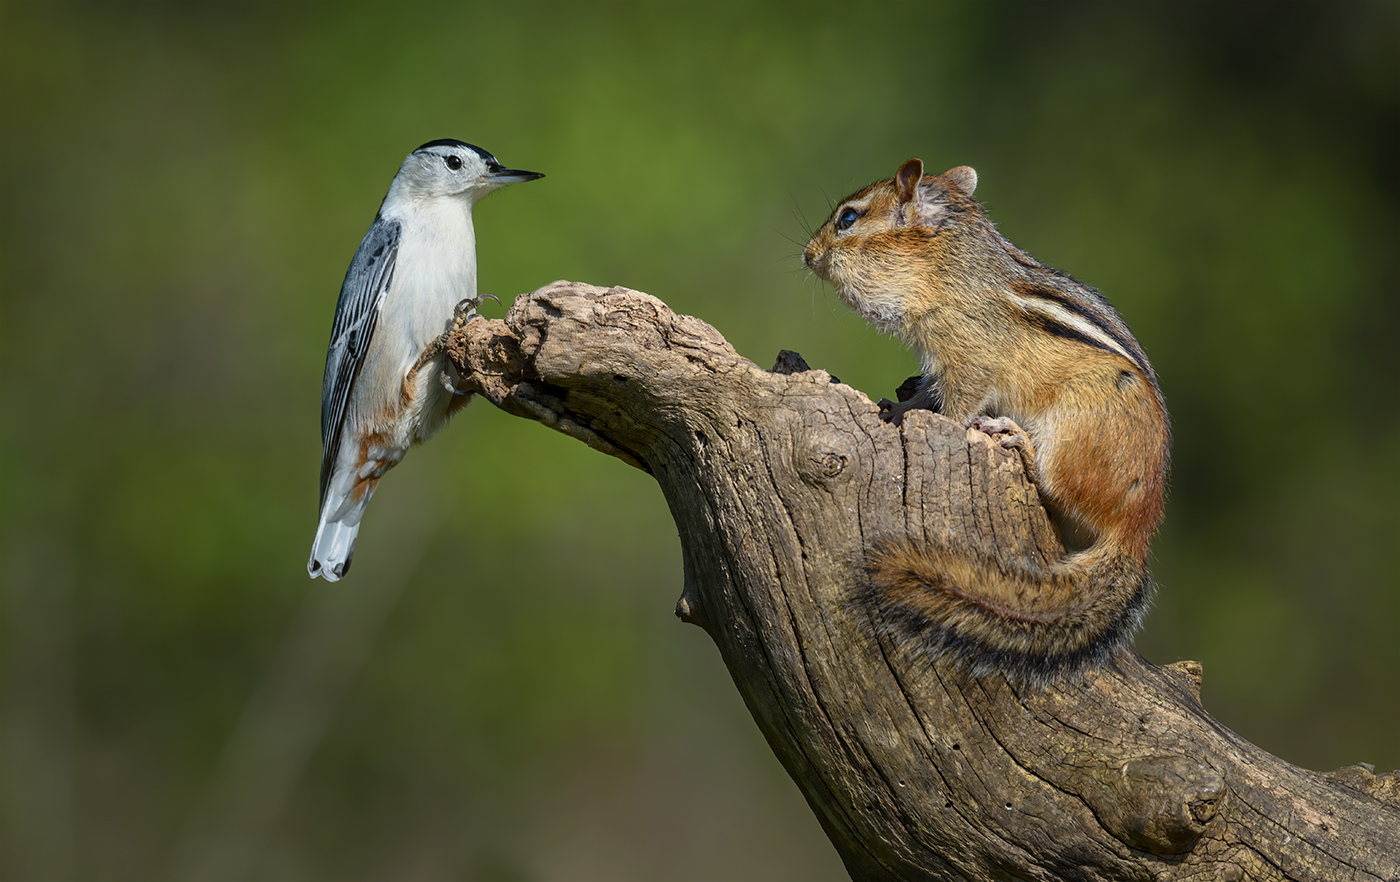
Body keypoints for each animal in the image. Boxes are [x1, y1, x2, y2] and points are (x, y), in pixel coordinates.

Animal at [802, 158, 1170, 684]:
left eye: (847, 219)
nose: (808, 254)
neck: (947, 269)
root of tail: (1135, 533)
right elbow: (929, 391)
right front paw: (901, 406)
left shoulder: (969, 357)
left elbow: (961, 402)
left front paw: (935, 419)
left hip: (1076, 431)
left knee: (1053, 482)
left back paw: (1014, 437)